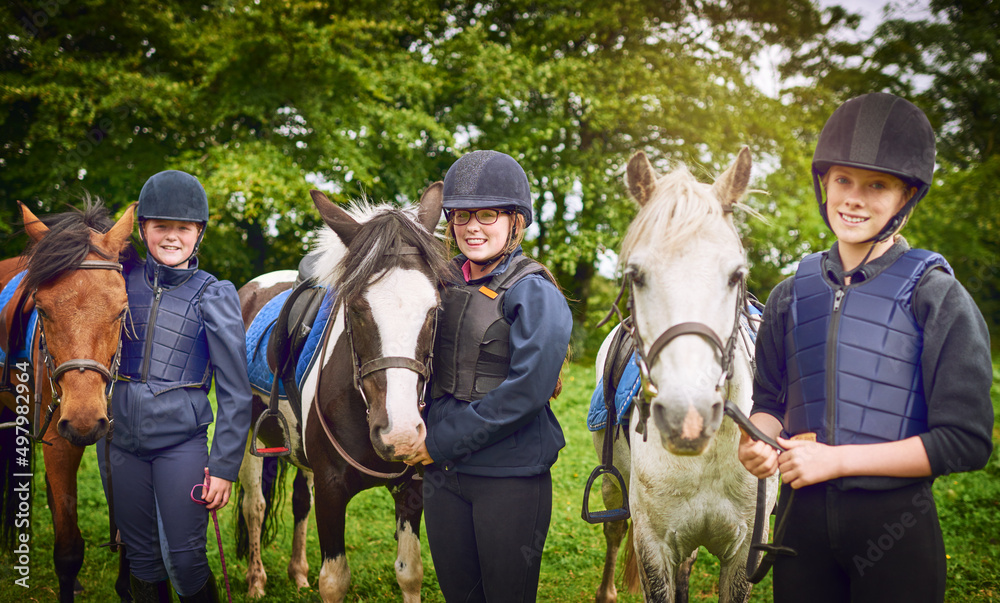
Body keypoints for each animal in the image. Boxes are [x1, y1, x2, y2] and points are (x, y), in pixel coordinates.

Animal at [235, 186, 450, 600]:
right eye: (357, 307)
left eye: (433, 309)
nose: (400, 434)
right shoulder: (332, 489)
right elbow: (334, 580)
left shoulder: (411, 488)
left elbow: (410, 572)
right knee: (255, 504)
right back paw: (255, 581)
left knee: (300, 500)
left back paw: (298, 572)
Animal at [588, 147, 776, 603]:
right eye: (636, 275)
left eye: (736, 275)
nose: (686, 418)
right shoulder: (654, 548)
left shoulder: (743, 555)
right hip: (613, 488)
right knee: (614, 530)